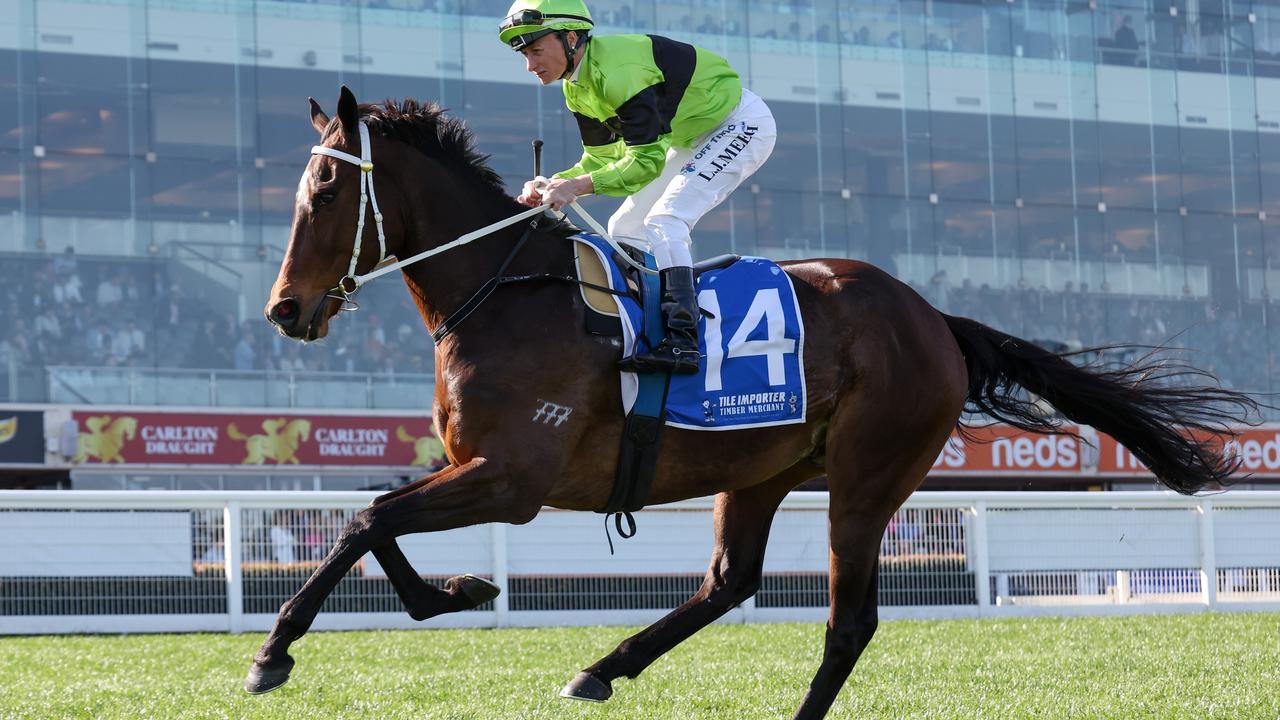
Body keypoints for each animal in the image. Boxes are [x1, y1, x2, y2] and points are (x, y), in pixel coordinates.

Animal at [252, 87, 1259, 712]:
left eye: (327, 189)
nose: (284, 310)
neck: (507, 293)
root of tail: (932, 315)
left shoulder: (514, 478)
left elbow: (366, 520)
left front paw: (274, 652)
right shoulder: (473, 467)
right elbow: (374, 521)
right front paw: (457, 590)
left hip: (867, 475)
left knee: (848, 621)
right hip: (763, 466)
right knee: (730, 581)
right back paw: (602, 669)